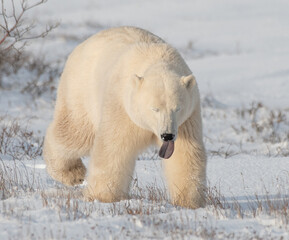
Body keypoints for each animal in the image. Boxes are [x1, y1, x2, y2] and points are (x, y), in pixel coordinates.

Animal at [42, 26, 206, 208]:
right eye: (155, 109)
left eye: (177, 108)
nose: (167, 135)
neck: (156, 60)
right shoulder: (122, 105)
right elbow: (114, 148)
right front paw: (104, 196)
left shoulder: (187, 118)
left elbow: (185, 153)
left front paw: (188, 201)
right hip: (81, 90)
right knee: (75, 133)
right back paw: (73, 173)